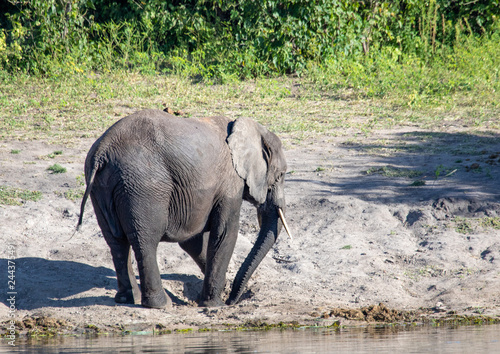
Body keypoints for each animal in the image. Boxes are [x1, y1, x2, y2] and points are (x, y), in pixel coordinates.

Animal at [76, 109, 292, 308]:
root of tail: (102, 152)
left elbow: (193, 241)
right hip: (142, 186)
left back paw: (128, 299)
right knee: (145, 241)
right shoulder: (230, 182)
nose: (232, 300)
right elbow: (225, 233)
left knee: (116, 242)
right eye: (281, 175)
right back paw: (161, 304)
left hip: (100, 187)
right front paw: (214, 304)